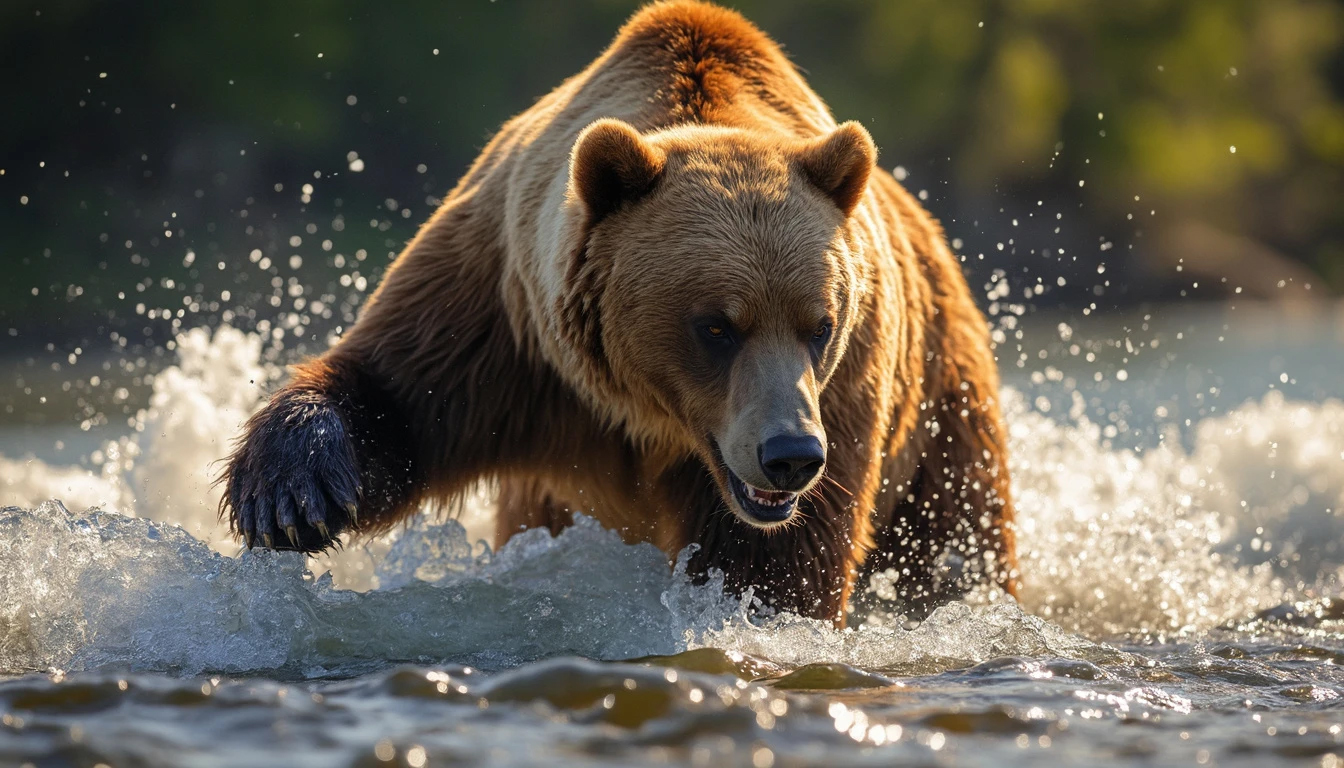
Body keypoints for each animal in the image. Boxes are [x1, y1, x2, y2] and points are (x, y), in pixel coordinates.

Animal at [220, 0, 1016, 624]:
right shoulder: (506, 320)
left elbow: (785, 560)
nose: (790, 455)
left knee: (958, 534)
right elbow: (396, 391)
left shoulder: (848, 387)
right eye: (717, 325)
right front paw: (290, 496)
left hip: (940, 410)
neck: (645, 414)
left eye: (819, 324)